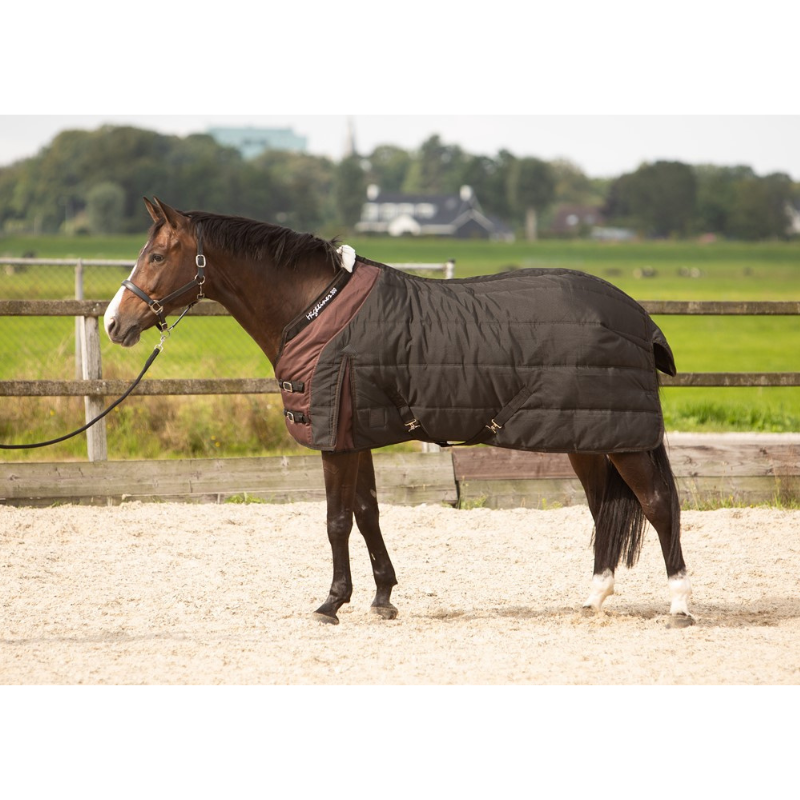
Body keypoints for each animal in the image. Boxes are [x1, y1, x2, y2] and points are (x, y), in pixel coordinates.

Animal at [104, 198, 694, 628]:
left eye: (156, 257)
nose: (114, 323)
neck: (315, 310)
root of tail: (638, 317)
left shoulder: (335, 440)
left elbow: (337, 520)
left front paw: (331, 603)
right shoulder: (356, 433)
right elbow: (368, 514)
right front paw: (382, 597)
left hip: (624, 439)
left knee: (659, 504)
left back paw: (680, 606)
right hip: (587, 438)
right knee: (602, 509)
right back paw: (594, 597)